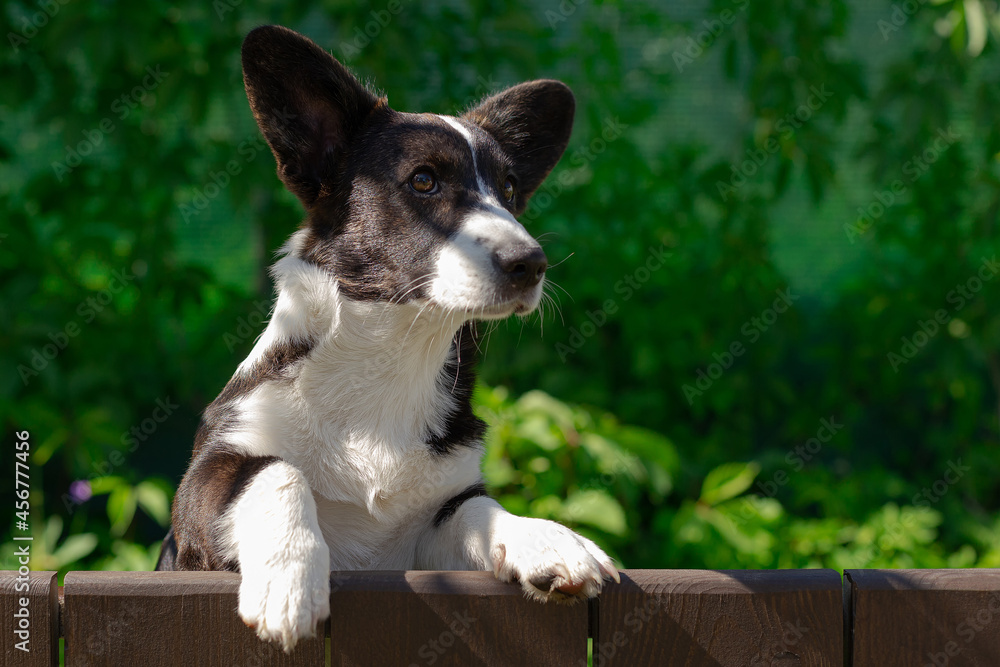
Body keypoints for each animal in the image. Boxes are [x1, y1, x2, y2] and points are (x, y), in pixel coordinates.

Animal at [155, 24, 616, 652]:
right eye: (423, 180)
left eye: (510, 188)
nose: (531, 263)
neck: (395, 354)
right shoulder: (206, 482)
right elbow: (277, 472)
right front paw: (290, 581)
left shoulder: (434, 525)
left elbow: (481, 509)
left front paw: (546, 540)